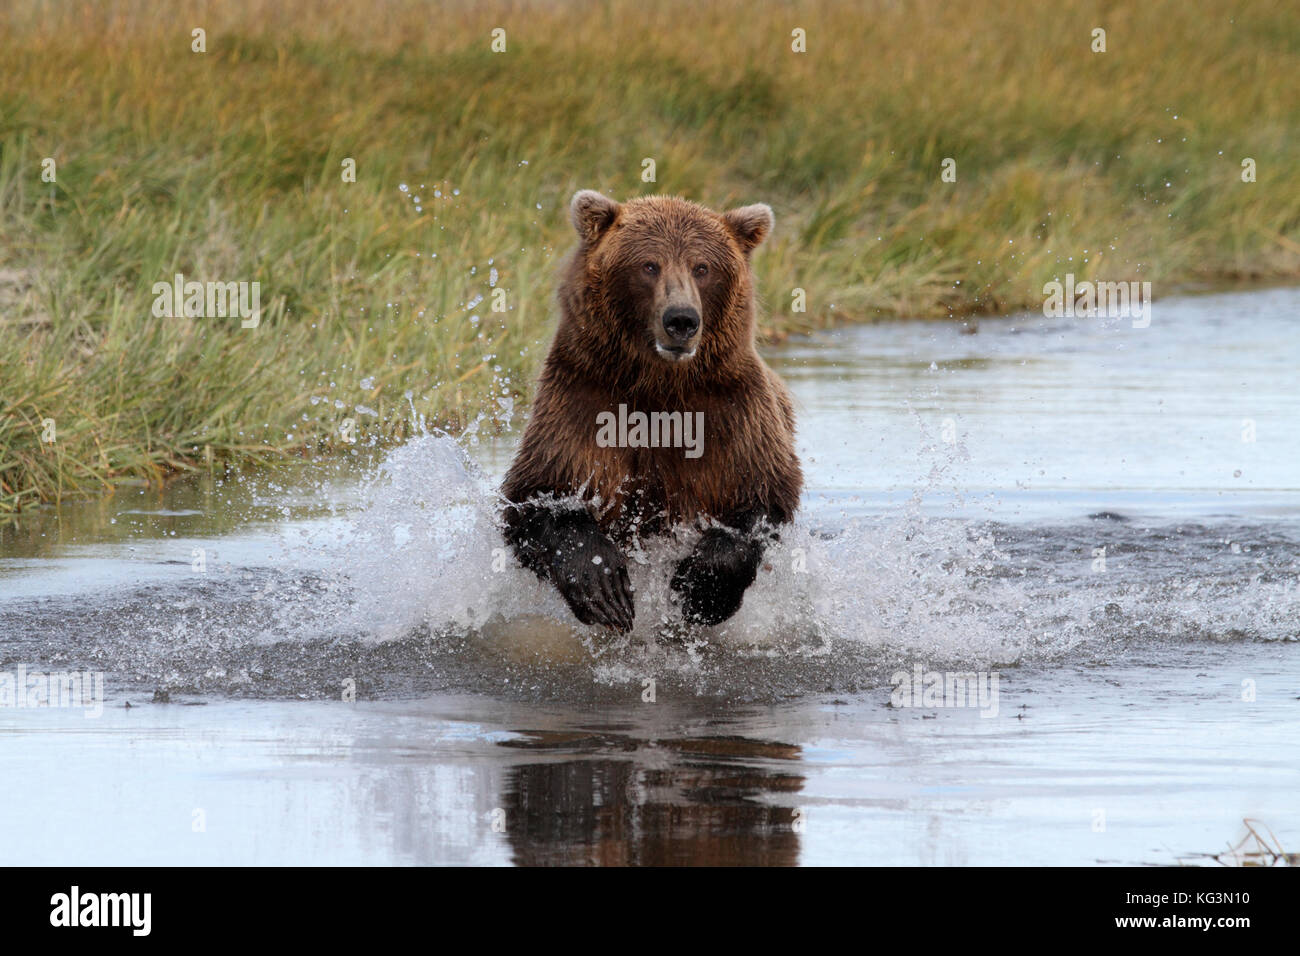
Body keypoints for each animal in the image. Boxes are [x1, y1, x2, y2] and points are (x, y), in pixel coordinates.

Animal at [499, 189, 795, 632]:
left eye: (702, 267)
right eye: (648, 265)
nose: (682, 320)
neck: (660, 387)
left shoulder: (733, 413)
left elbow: (762, 495)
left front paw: (699, 590)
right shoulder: (582, 402)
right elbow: (538, 497)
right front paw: (604, 588)